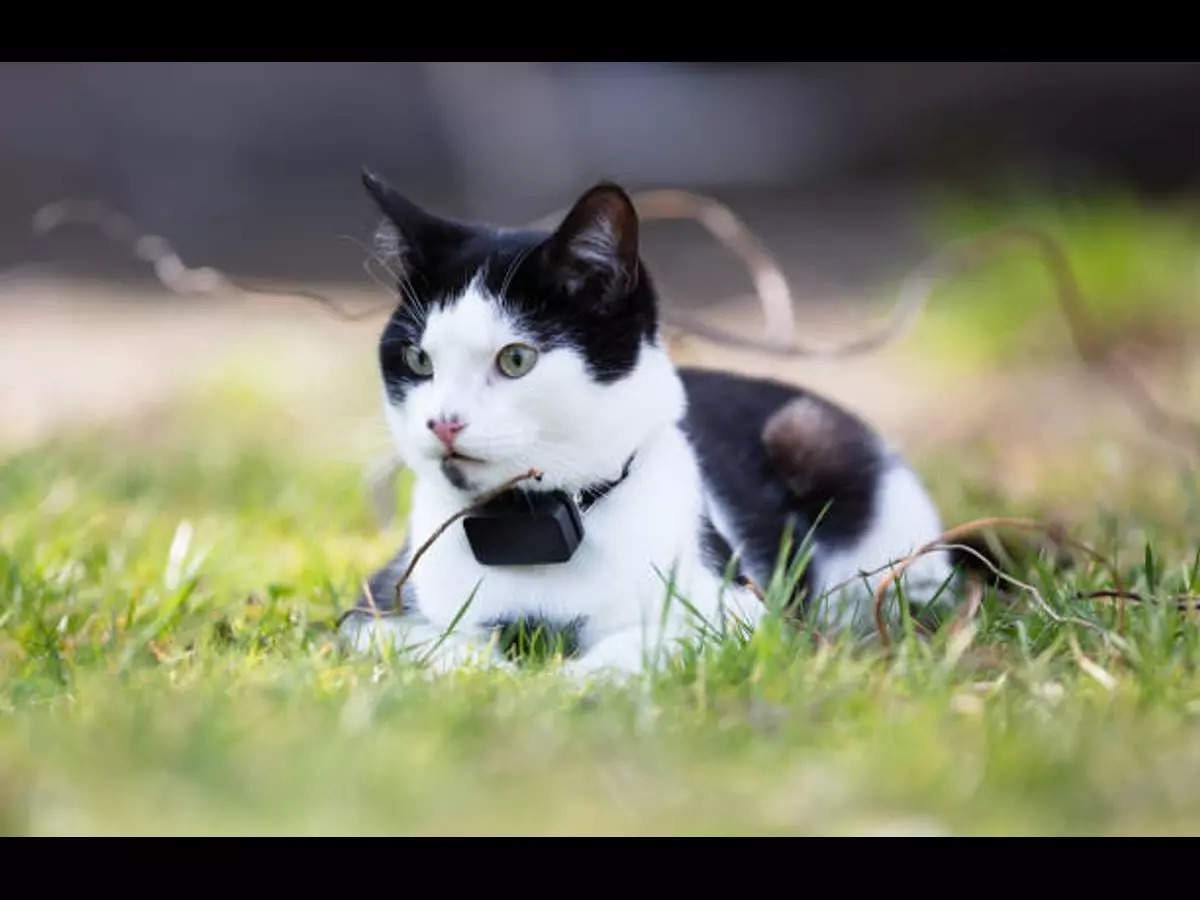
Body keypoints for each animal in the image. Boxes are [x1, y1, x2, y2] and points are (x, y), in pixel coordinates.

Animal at [340, 170, 955, 676]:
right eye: (418, 359)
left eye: (516, 359)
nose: (442, 423)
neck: (528, 529)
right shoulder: (373, 612)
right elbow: (438, 644)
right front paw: (499, 675)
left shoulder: (739, 610)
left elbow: (647, 641)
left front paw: (568, 683)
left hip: (824, 453)